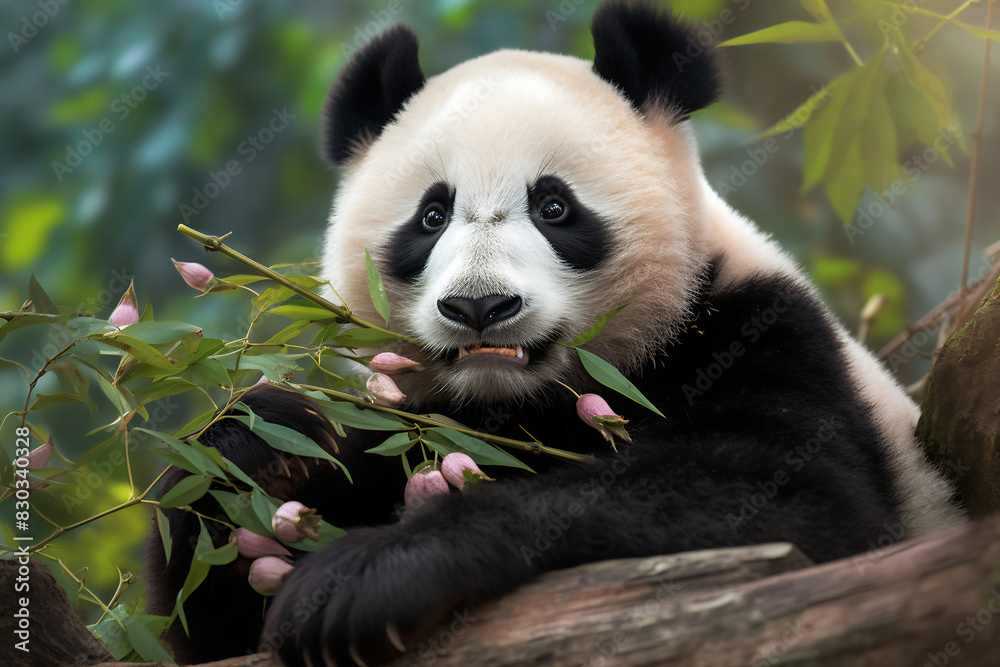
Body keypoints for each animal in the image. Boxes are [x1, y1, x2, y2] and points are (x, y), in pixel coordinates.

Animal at [145, 2, 965, 665]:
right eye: (432, 215)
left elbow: (791, 508)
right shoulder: (409, 429)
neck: (519, 402)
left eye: (555, 207)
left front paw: (365, 576)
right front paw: (260, 446)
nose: (481, 307)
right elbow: (214, 625)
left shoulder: (760, 332)